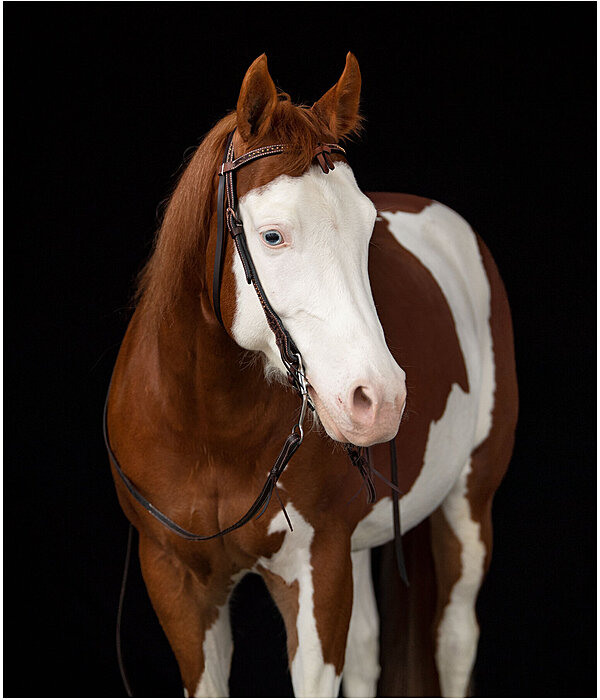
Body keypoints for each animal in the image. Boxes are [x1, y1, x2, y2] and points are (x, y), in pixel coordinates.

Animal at [105, 52, 516, 696]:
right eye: (272, 235)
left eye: (370, 230)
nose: (381, 399)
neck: (210, 428)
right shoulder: (177, 583)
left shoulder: (316, 572)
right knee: (369, 649)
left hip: (469, 502)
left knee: (454, 639)